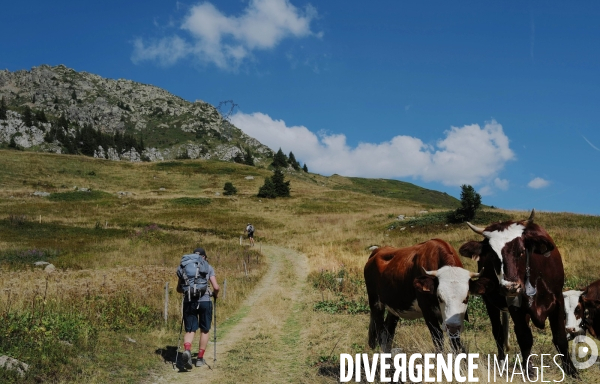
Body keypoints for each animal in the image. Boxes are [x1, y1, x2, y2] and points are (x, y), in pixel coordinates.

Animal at [458, 210, 580, 378]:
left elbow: (560, 337)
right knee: (498, 332)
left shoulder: (557, 300)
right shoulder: (515, 306)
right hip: (490, 303)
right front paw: (528, 371)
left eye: (521, 251)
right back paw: (502, 362)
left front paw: (571, 371)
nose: (510, 287)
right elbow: (525, 337)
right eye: (492, 255)